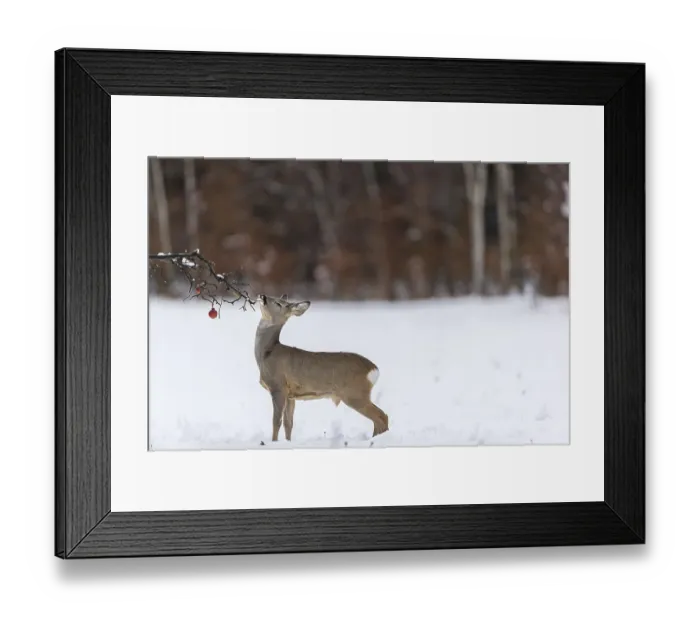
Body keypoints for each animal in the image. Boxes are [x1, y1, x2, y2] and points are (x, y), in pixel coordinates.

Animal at [254, 293, 389, 443]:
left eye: (279, 303)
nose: (262, 296)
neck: (267, 353)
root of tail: (374, 369)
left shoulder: (278, 387)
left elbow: (276, 421)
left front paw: (273, 442)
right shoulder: (291, 395)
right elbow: (288, 423)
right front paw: (287, 442)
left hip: (355, 393)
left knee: (382, 416)